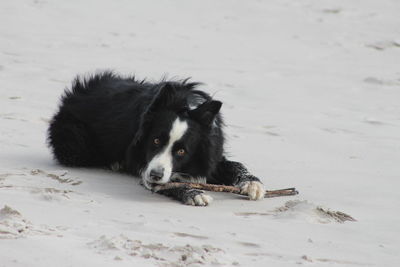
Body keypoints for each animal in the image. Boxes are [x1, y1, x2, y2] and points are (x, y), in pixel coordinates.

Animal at [47, 72, 266, 206]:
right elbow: (170, 183)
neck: (185, 107)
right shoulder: (143, 162)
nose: (155, 175)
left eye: (182, 151)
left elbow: (235, 164)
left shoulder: (210, 151)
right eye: (156, 141)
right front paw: (195, 194)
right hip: (75, 141)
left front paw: (252, 184)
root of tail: (75, 93)